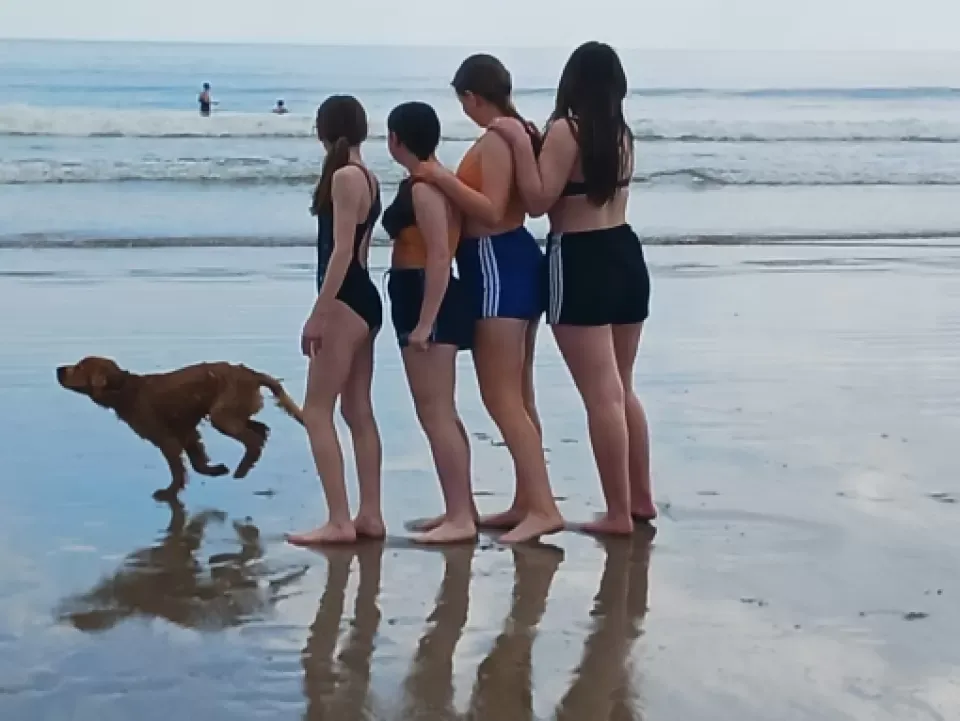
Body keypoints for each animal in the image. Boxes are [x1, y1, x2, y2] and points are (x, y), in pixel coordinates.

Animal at [57, 356, 304, 501]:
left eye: (78, 367)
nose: (59, 369)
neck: (124, 390)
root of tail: (252, 374)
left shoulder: (166, 437)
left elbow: (178, 469)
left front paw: (169, 492)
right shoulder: (187, 432)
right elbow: (197, 463)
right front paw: (216, 470)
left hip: (222, 416)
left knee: (253, 439)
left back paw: (242, 469)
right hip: (231, 413)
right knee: (261, 430)